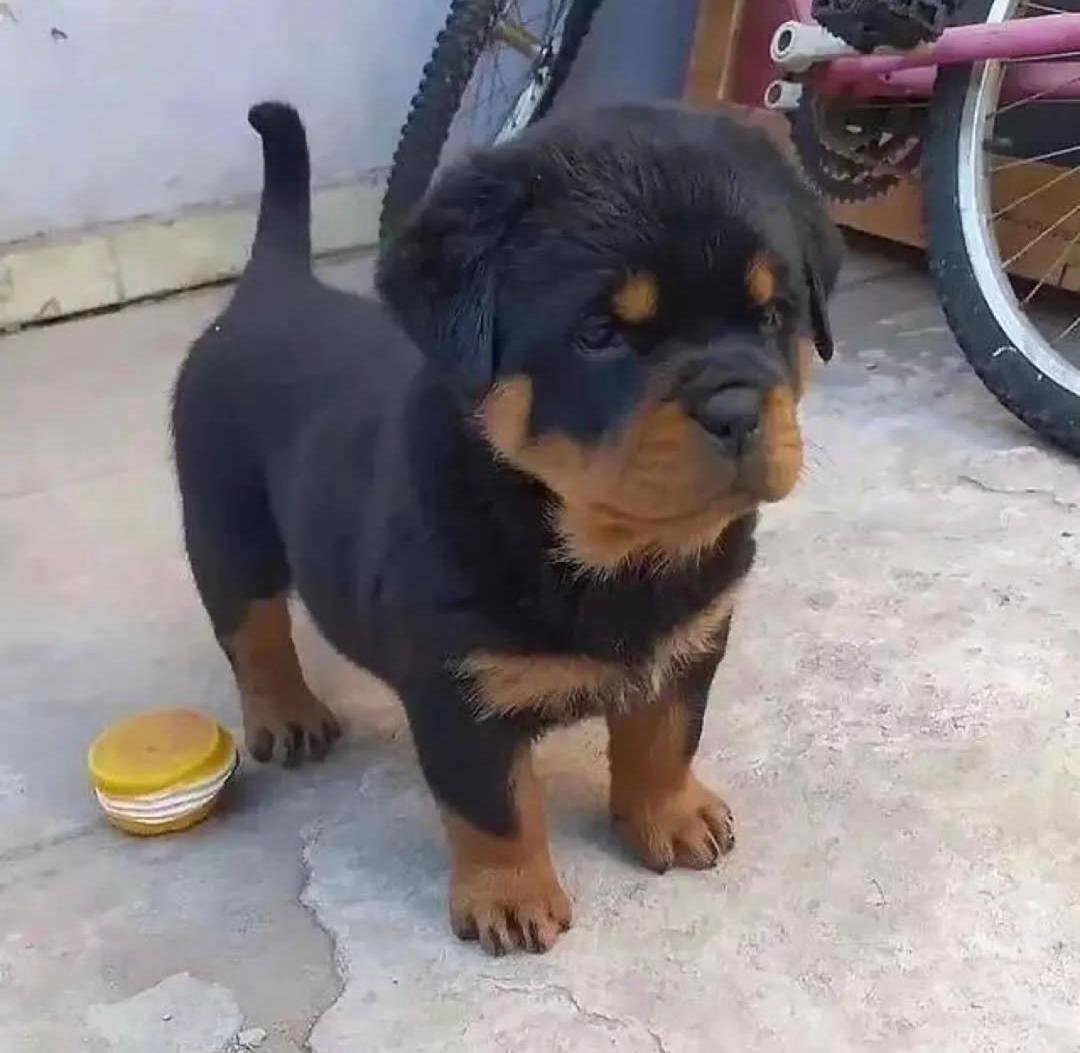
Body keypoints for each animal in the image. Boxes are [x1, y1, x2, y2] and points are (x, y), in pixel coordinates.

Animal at [172, 100, 842, 956]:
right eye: (601, 335)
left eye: (772, 314)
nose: (734, 406)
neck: (612, 553)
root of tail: (273, 286)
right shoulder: (459, 689)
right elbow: (494, 806)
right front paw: (511, 894)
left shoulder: (694, 638)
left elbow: (667, 735)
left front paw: (670, 811)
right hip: (228, 530)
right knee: (252, 631)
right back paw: (287, 714)